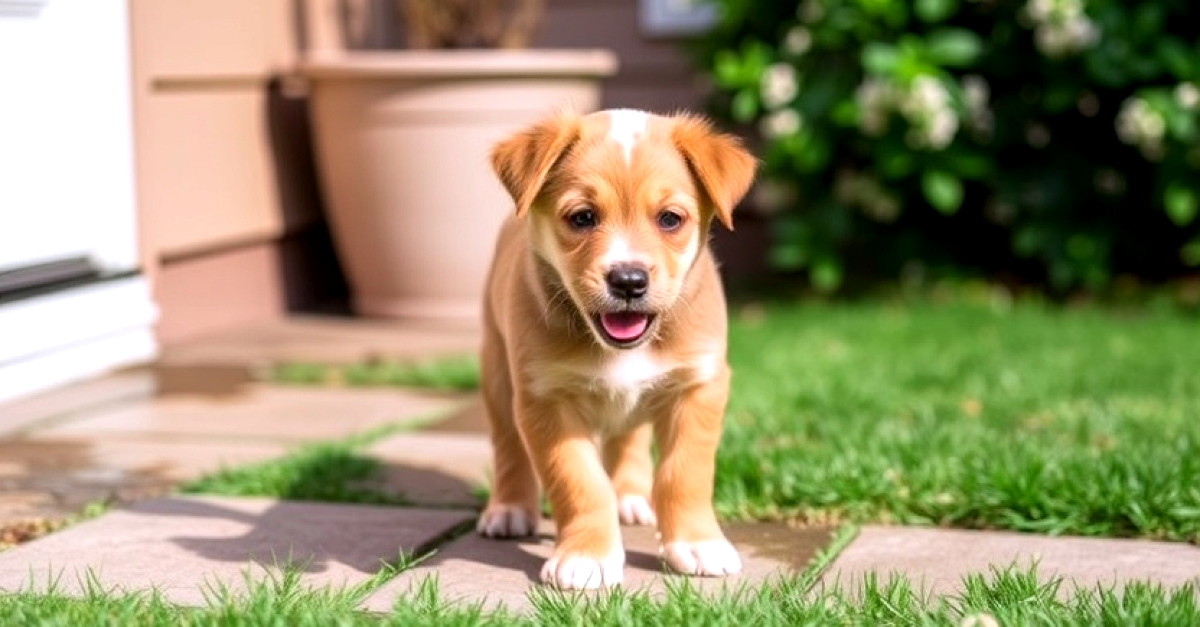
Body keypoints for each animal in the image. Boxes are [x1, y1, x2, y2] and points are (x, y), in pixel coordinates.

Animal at [475, 108, 748, 590]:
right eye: (582, 217)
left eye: (670, 219)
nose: (628, 280)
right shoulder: (545, 400)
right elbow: (579, 480)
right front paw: (586, 557)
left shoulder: (698, 387)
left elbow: (685, 472)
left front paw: (698, 543)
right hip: (497, 376)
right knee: (508, 446)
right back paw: (508, 509)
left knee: (629, 437)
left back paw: (631, 496)